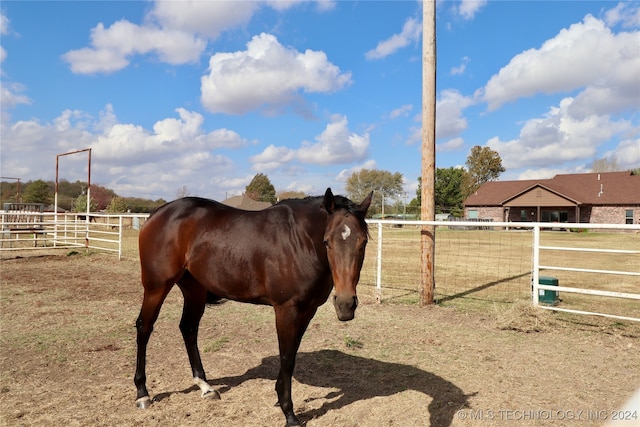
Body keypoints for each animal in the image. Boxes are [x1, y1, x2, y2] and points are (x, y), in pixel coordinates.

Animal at [136, 189, 376, 426]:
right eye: (327, 241)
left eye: (363, 242)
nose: (345, 304)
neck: (299, 241)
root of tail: (158, 214)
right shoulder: (286, 310)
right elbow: (287, 358)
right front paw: (289, 413)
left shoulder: (308, 310)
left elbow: (292, 352)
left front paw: (280, 396)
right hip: (156, 287)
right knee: (144, 327)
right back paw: (142, 393)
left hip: (194, 289)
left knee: (188, 328)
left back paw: (205, 386)